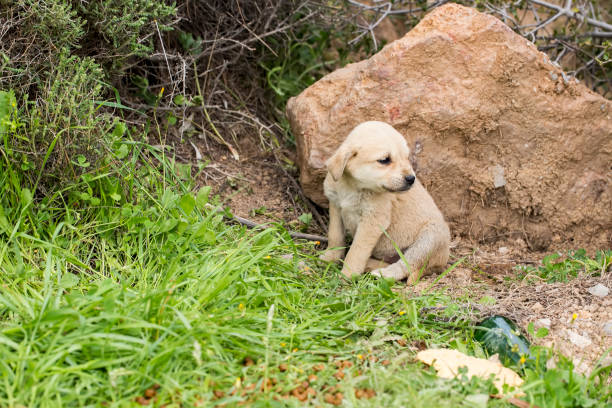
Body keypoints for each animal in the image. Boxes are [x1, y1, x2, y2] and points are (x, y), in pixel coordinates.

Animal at [320, 120, 450, 284]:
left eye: (406, 157)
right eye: (384, 160)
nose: (411, 178)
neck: (353, 187)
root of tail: (441, 263)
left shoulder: (373, 221)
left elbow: (357, 251)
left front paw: (347, 274)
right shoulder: (336, 207)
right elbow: (335, 236)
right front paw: (330, 258)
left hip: (429, 239)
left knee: (406, 265)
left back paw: (382, 274)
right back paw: (370, 265)